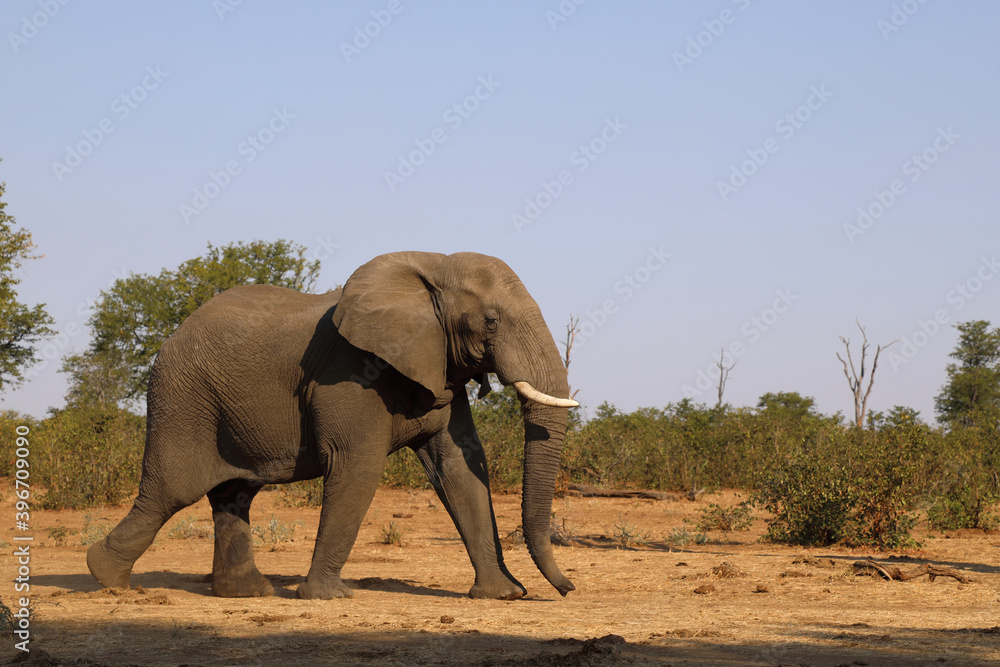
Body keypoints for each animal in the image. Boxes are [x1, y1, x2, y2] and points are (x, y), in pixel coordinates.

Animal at [86, 251, 578, 601]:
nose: (568, 587)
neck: (431, 266)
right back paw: (105, 577)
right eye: (491, 321)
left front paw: (504, 595)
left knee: (234, 495)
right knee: (170, 492)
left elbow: (460, 469)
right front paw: (329, 596)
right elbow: (357, 465)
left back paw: (249, 593)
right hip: (182, 398)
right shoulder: (349, 371)